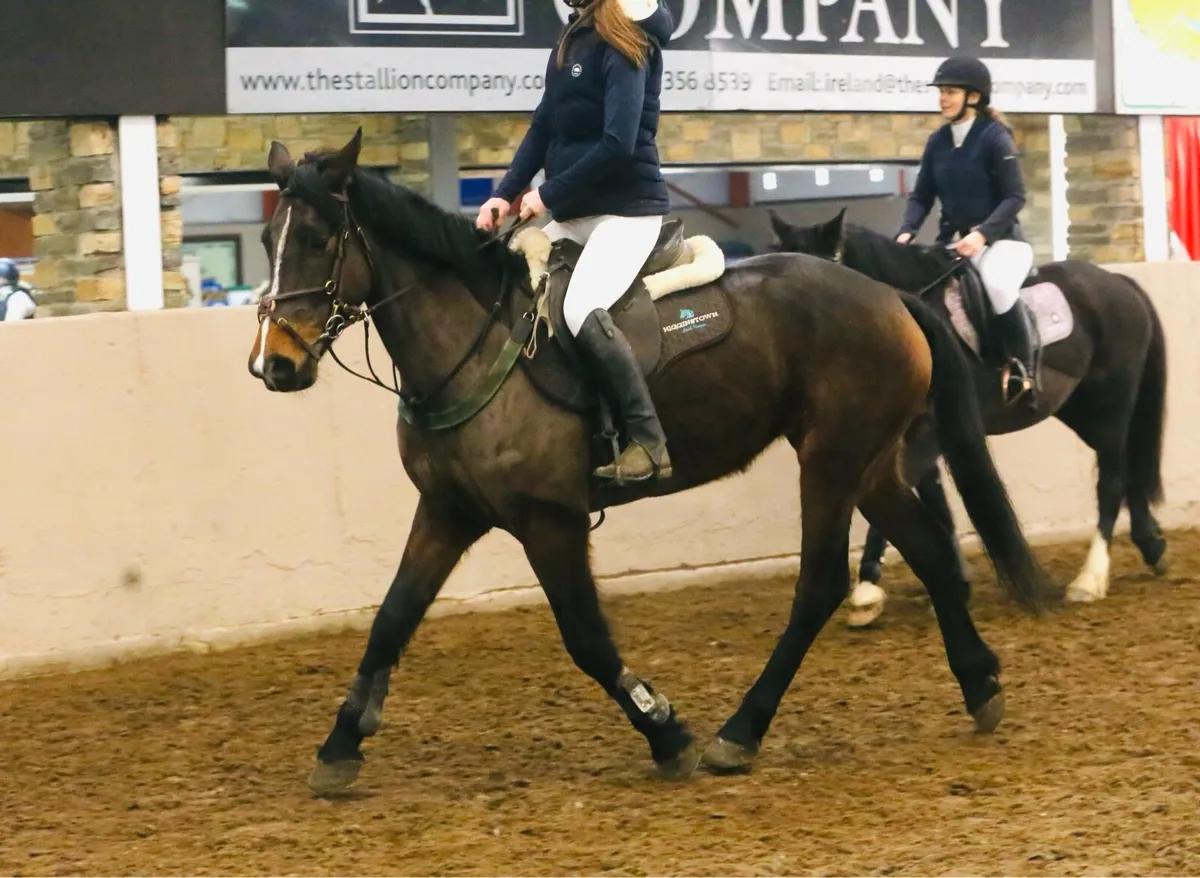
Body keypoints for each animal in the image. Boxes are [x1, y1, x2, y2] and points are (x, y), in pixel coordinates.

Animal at [247, 128, 1055, 793]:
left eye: (315, 238)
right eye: (265, 237)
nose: (273, 365)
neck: (469, 345)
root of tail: (888, 296)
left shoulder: (550, 520)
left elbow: (585, 636)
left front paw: (666, 731)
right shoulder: (447, 510)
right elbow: (392, 618)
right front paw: (340, 745)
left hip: (831, 462)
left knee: (820, 583)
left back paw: (740, 732)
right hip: (869, 463)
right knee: (932, 551)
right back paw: (980, 686)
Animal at [769, 207, 1169, 627]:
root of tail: (1118, 282)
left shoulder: (928, 435)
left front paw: (866, 592)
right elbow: (936, 506)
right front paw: (954, 581)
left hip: (1110, 406)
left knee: (1112, 479)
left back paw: (1090, 580)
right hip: (1080, 410)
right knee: (1128, 467)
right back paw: (1152, 546)